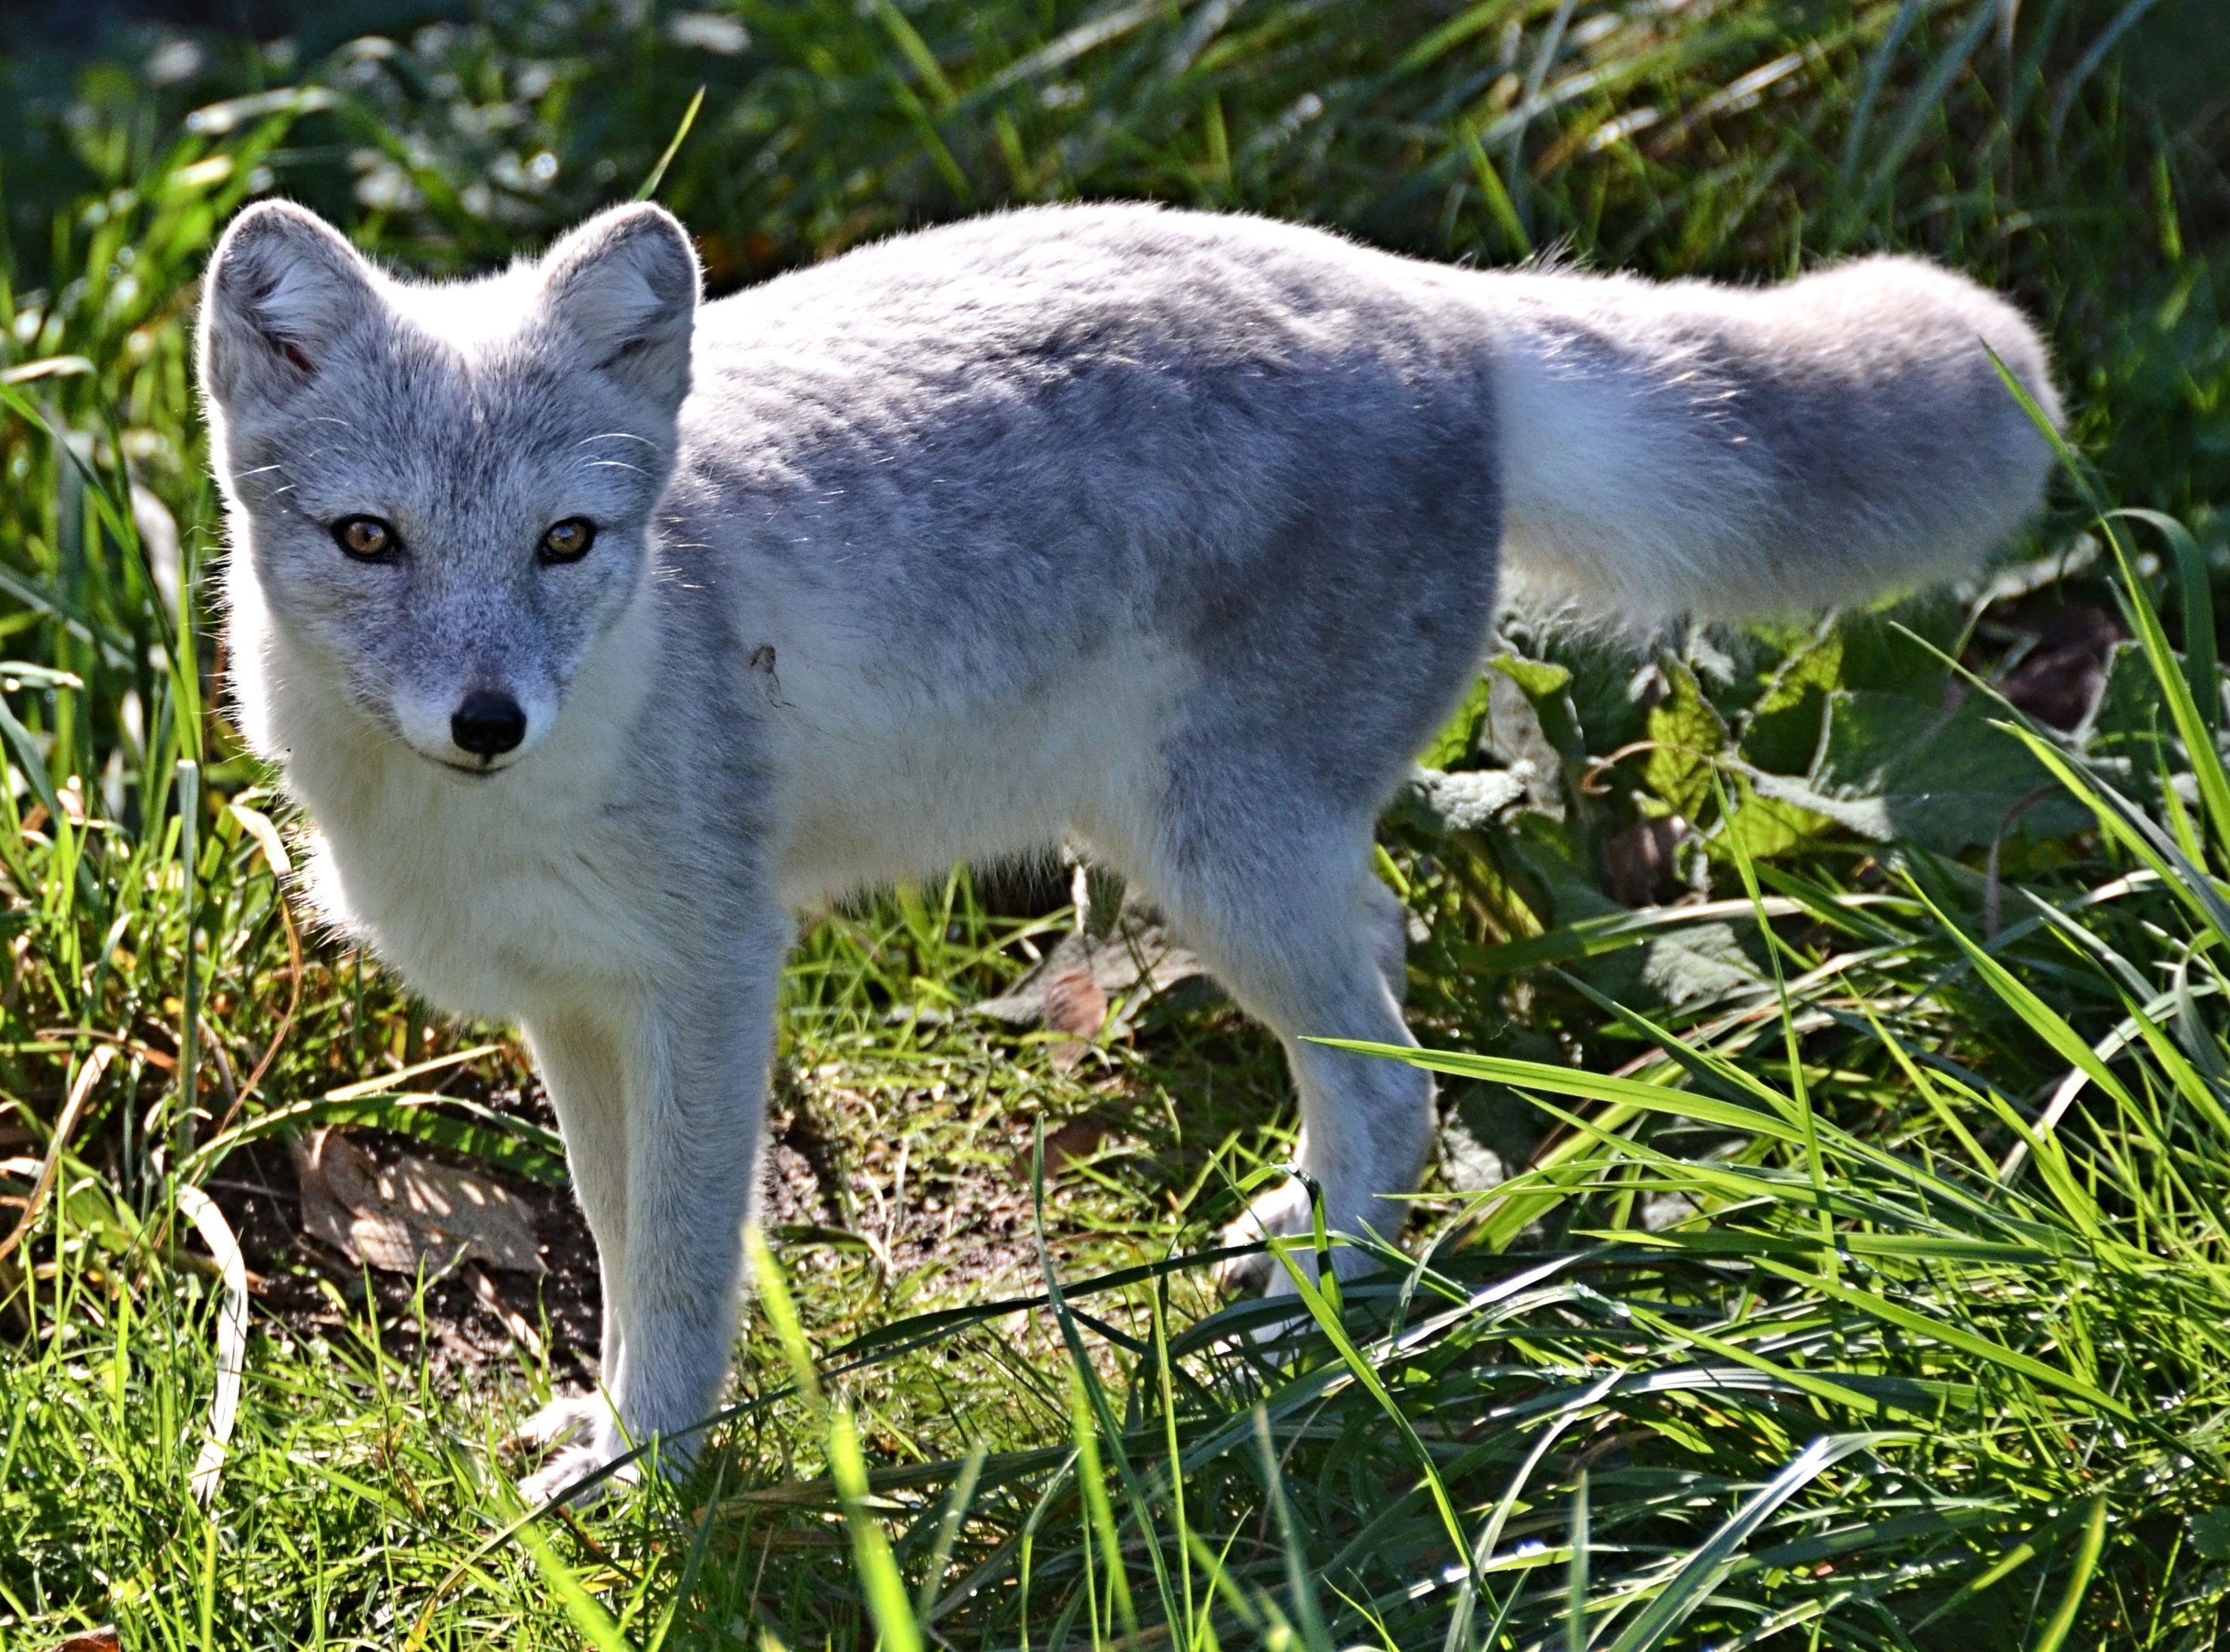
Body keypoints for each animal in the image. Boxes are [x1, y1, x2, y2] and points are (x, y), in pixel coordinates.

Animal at [201, 192, 2060, 1497]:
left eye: (567, 542)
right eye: (368, 541)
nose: (488, 720)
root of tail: (1439, 299)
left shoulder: (713, 981)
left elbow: (677, 1255)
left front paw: (650, 1465)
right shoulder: (577, 1007)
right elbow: (615, 1224)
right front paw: (607, 1419)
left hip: (1222, 864)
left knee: (1399, 1081)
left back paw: (1323, 1313)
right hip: (1219, 859)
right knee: (1386, 1001)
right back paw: (1299, 1238)